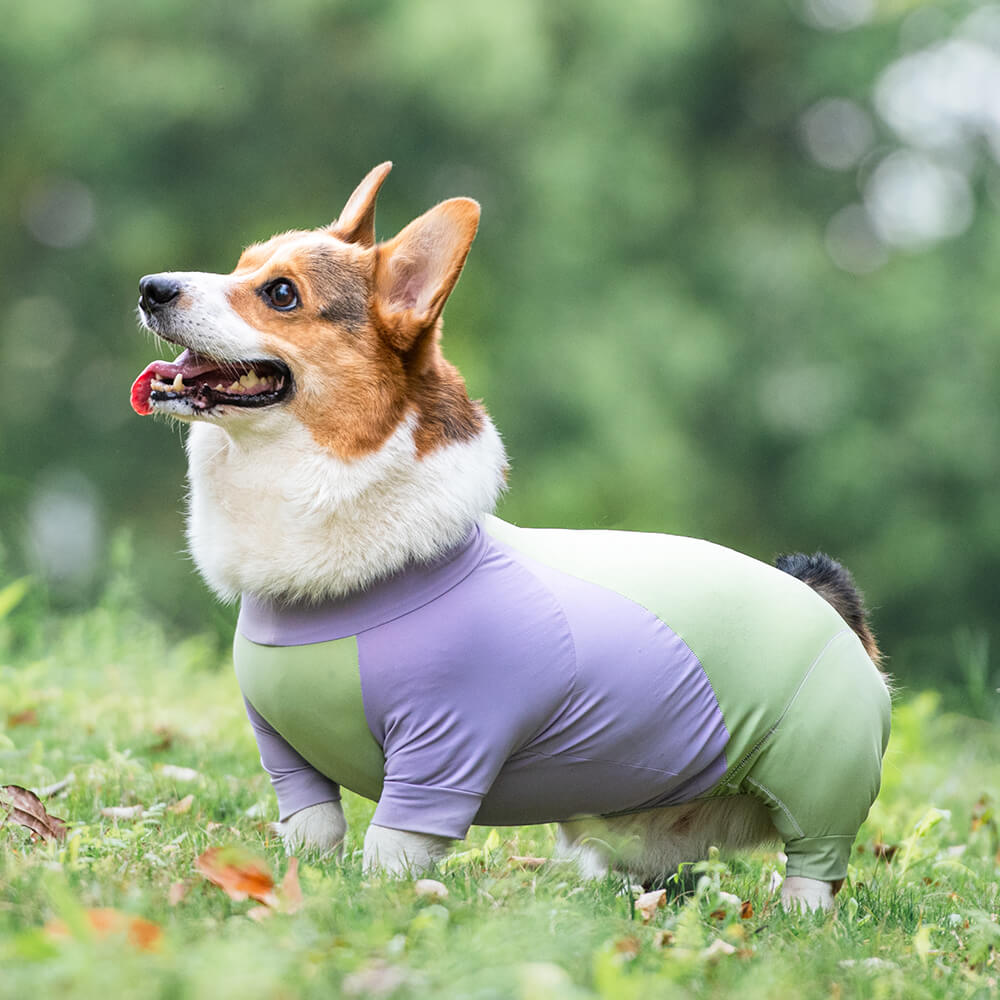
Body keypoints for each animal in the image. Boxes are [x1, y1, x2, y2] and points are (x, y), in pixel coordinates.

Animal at [133, 160, 892, 912]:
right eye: (241, 265)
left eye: (281, 293)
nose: (150, 288)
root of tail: (826, 599)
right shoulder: (287, 757)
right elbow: (312, 829)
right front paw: (297, 882)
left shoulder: (443, 751)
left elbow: (389, 852)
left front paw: (377, 898)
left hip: (818, 781)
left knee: (813, 865)